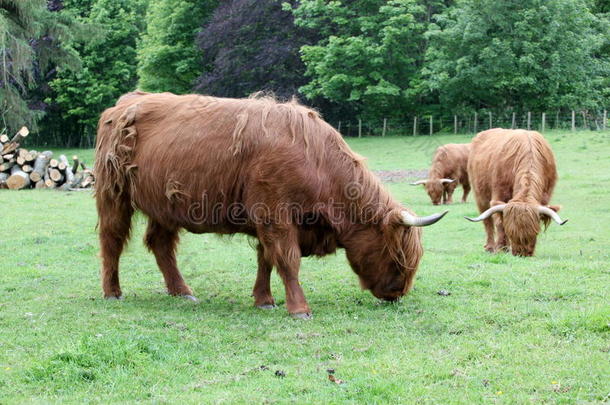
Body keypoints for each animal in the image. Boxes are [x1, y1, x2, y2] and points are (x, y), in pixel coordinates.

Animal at [95, 90, 446, 316]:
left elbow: (265, 260)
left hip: (164, 206)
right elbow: (287, 259)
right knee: (112, 240)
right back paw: (112, 293)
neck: (317, 163)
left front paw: (264, 299)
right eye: (398, 255)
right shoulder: (275, 214)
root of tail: (127, 102)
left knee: (160, 244)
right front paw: (299, 308)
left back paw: (182, 292)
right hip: (114, 195)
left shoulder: (267, 220)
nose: (397, 293)